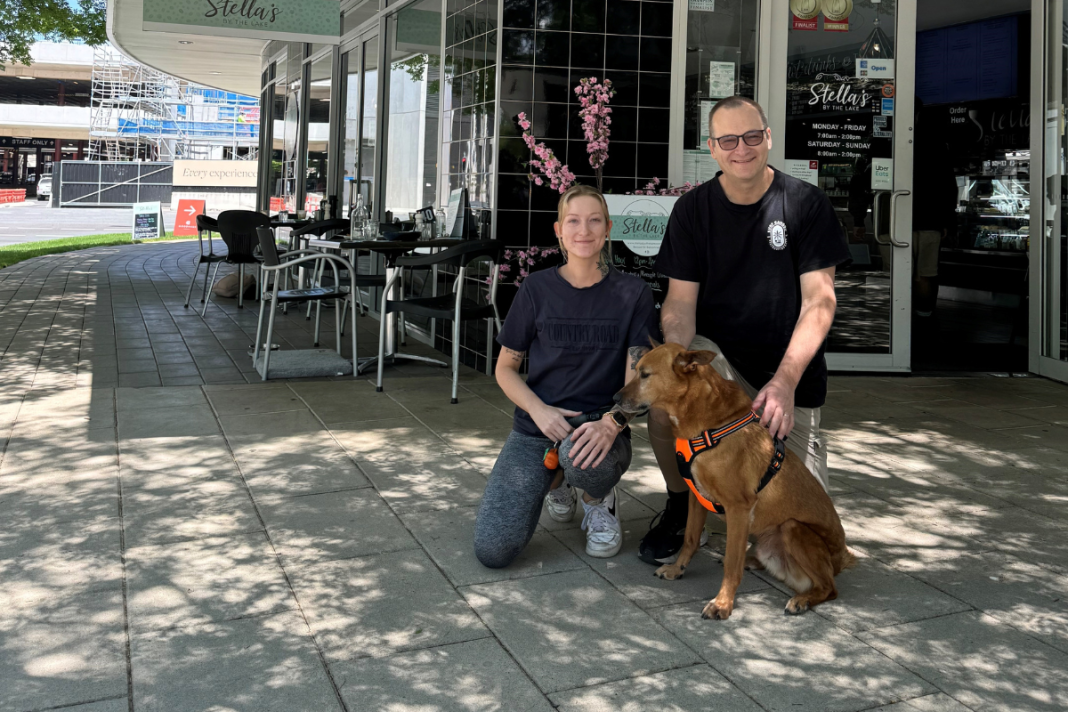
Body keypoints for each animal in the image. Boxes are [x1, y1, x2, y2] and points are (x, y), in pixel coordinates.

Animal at [615, 343, 854, 619]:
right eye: (636, 371)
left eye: (645, 375)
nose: (615, 399)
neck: (707, 426)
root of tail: (841, 559)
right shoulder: (696, 498)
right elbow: (690, 539)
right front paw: (677, 569)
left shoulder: (739, 508)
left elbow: (731, 563)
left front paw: (722, 603)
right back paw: (752, 560)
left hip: (792, 528)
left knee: (829, 587)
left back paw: (802, 599)